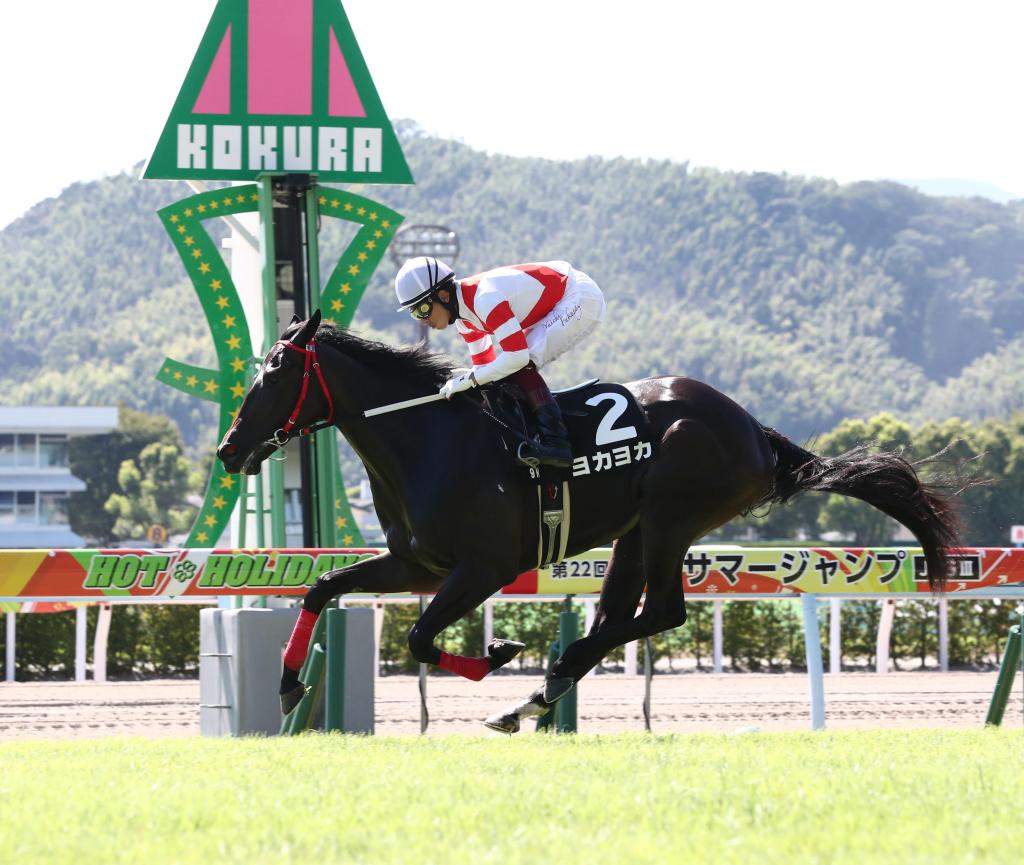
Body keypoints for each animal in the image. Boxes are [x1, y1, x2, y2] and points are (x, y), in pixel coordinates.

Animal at [217, 310, 962, 733]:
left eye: (275, 372)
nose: (228, 448)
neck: (427, 436)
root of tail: (756, 429)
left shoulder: (485, 567)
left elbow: (422, 638)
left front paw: (498, 652)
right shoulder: (416, 561)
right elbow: (321, 587)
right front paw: (288, 684)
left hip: (669, 516)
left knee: (660, 612)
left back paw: (542, 679)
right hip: (635, 531)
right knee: (618, 616)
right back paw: (536, 696)